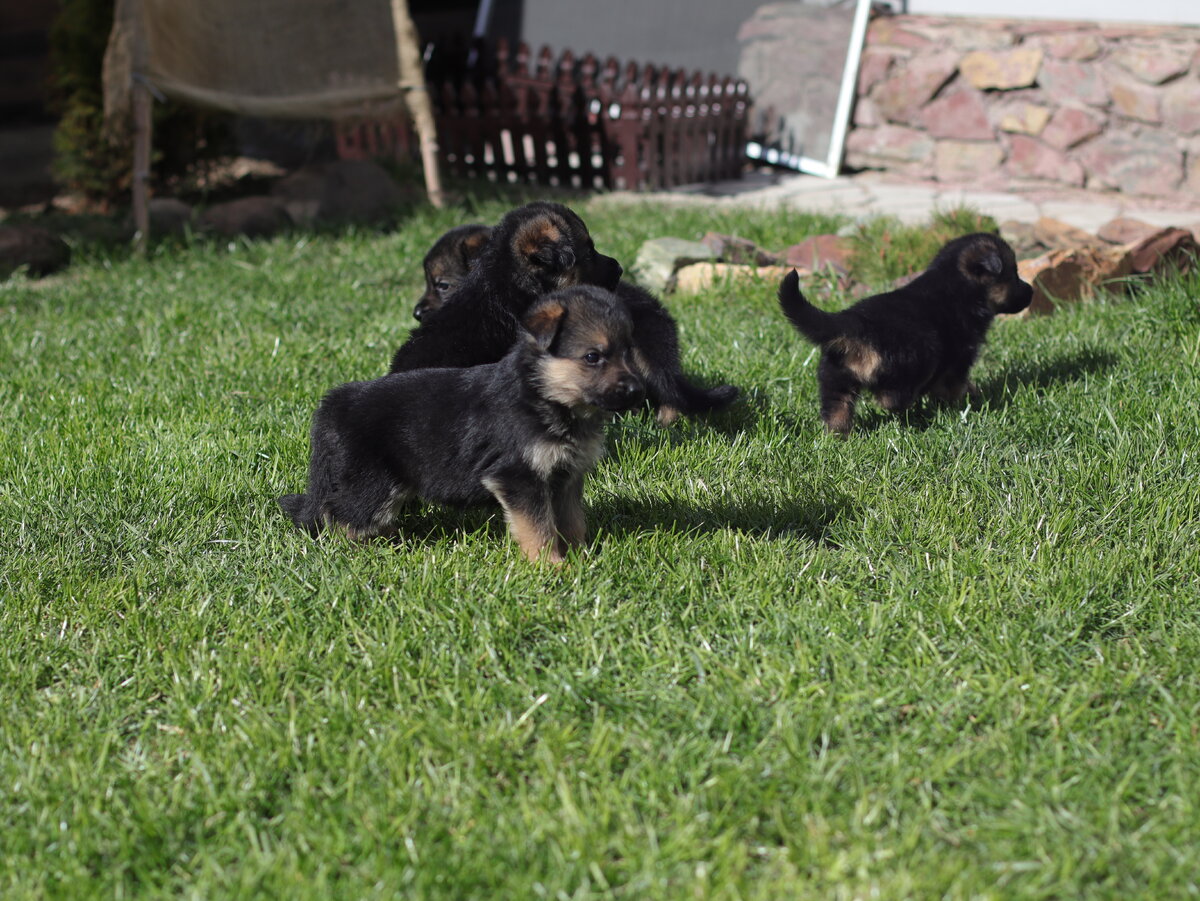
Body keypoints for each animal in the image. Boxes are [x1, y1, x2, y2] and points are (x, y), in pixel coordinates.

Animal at [278, 283, 648, 563]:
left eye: (629, 352)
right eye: (592, 357)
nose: (638, 390)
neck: (543, 394)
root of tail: (336, 403)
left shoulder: (566, 478)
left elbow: (572, 522)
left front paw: (580, 557)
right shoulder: (518, 477)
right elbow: (539, 528)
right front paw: (553, 566)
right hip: (372, 483)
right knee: (341, 516)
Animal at [777, 232, 1032, 436]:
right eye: (1014, 274)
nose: (1031, 291)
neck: (956, 282)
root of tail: (855, 322)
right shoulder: (961, 355)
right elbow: (954, 384)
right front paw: (962, 400)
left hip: (835, 378)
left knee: (837, 409)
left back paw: (838, 436)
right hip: (916, 356)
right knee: (891, 398)